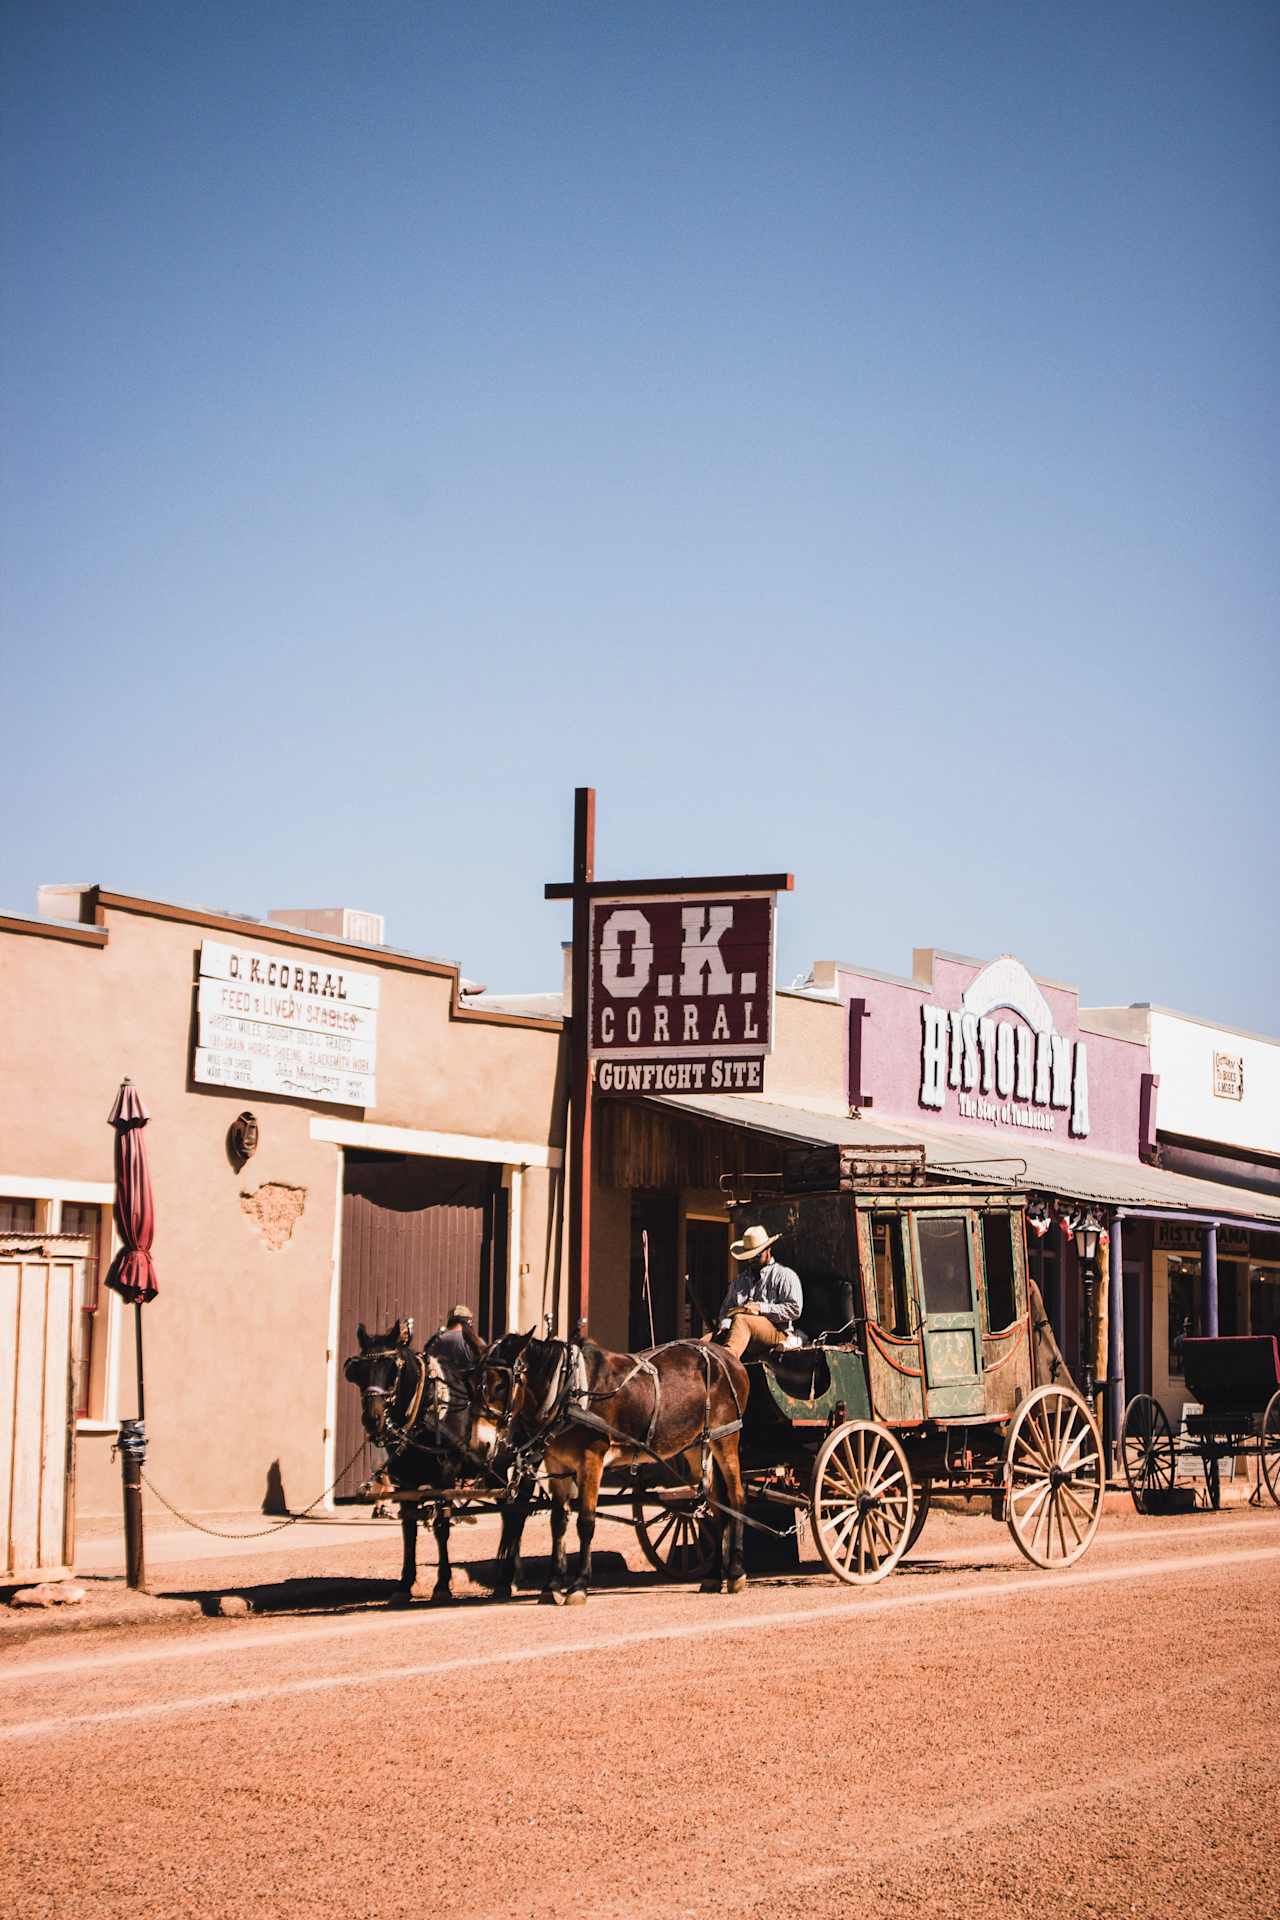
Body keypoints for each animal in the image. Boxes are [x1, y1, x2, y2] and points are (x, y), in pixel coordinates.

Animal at [477, 1336, 752, 1605]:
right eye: (476, 1383)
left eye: (501, 1385)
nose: (483, 1442)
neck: (569, 1390)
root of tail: (727, 1357)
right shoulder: (557, 1465)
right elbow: (558, 1523)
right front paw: (552, 1585)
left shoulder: (591, 1461)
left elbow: (586, 1522)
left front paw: (579, 1586)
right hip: (697, 1446)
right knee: (717, 1506)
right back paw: (714, 1576)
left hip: (726, 1437)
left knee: (736, 1498)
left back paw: (736, 1572)